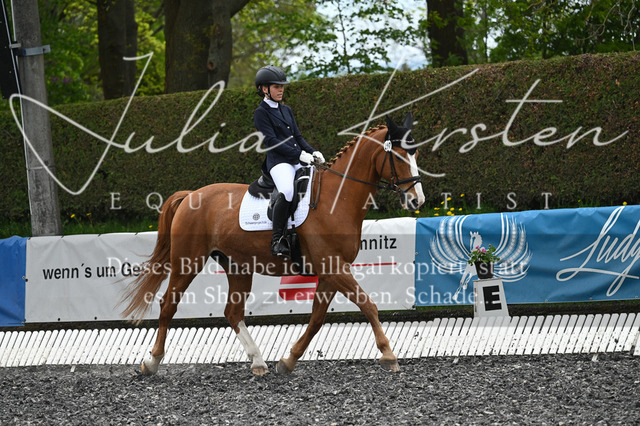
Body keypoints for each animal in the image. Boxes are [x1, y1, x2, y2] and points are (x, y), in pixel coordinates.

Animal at [121, 112, 426, 376]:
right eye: (399, 157)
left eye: (416, 154)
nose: (417, 201)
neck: (336, 199)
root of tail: (191, 195)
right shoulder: (335, 268)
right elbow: (368, 304)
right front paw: (388, 354)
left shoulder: (330, 272)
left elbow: (317, 319)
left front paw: (288, 360)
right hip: (188, 262)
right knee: (168, 304)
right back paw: (152, 362)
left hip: (237, 266)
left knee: (233, 312)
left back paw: (258, 362)